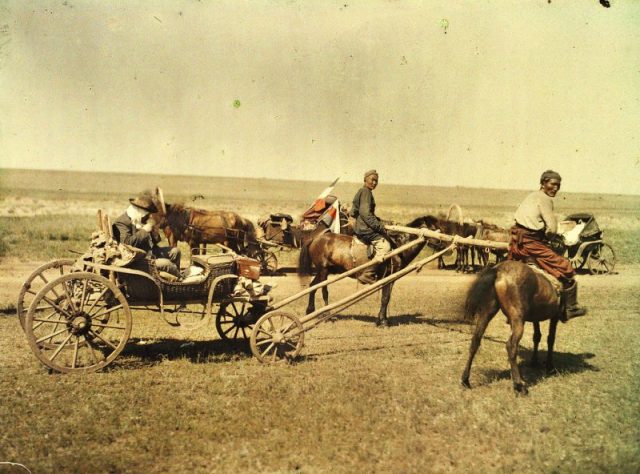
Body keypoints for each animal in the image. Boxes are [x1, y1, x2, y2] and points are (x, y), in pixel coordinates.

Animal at [296, 215, 438, 326]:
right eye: (432, 229)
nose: (440, 243)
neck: (398, 246)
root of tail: (315, 239)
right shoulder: (386, 277)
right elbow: (385, 298)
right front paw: (382, 322)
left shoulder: (391, 278)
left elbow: (386, 297)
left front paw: (382, 319)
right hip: (323, 271)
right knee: (324, 291)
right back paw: (327, 314)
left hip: (323, 271)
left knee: (312, 286)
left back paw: (311, 311)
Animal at [460, 262, 564, 394]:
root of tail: (498, 271)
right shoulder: (555, 316)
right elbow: (550, 338)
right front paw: (550, 367)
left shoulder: (536, 318)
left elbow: (537, 336)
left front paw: (534, 362)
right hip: (518, 319)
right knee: (511, 345)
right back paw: (519, 385)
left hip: (487, 312)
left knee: (475, 341)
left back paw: (465, 380)